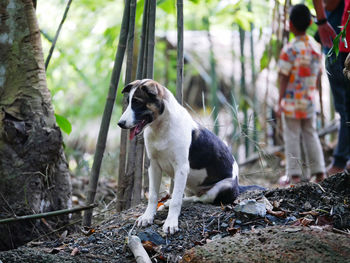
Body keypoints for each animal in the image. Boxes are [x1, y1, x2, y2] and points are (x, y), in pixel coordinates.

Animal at [117, 79, 262, 235]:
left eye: (137, 102)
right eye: (128, 102)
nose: (120, 124)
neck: (161, 127)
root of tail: (238, 185)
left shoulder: (181, 168)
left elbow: (176, 200)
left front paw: (171, 222)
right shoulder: (154, 166)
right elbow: (153, 196)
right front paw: (147, 217)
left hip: (223, 186)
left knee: (199, 198)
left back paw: (171, 203)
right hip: (187, 185)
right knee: (190, 196)